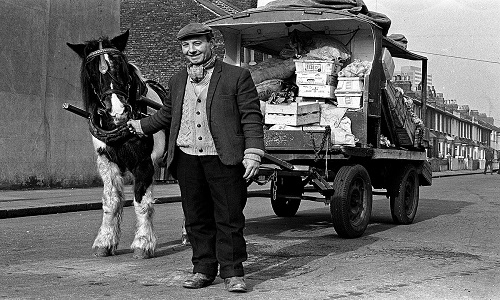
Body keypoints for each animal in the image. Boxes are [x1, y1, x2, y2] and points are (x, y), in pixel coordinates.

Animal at [66, 29, 167, 258]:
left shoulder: (144, 163)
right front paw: (104, 242)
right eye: (91, 71)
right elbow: (111, 202)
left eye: (120, 64)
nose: (118, 112)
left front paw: (143, 243)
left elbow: (142, 202)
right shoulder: (107, 162)